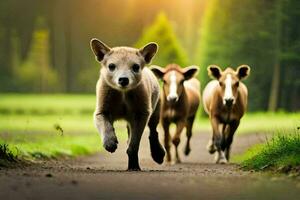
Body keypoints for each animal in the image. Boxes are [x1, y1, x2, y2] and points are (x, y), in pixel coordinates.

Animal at [90, 38, 165, 170]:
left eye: (136, 67)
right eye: (111, 66)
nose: (123, 79)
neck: (123, 94)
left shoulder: (142, 113)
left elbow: (134, 143)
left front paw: (134, 165)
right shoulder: (102, 109)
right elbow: (105, 125)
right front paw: (110, 143)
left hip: (156, 109)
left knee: (153, 131)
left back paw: (158, 155)